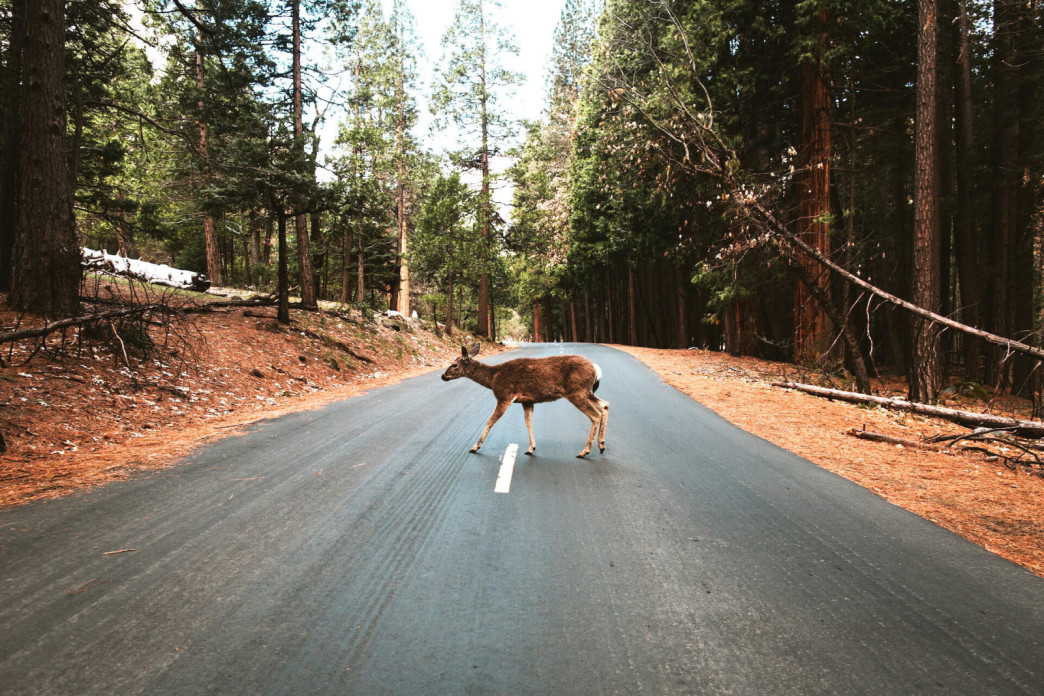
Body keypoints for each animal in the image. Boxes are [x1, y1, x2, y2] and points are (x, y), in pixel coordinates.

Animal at [442, 342, 609, 457]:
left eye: (454, 364)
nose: (443, 376)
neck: (493, 378)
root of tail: (596, 368)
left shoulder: (505, 396)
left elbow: (490, 421)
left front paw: (475, 447)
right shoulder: (527, 400)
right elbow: (528, 421)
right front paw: (531, 448)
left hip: (576, 391)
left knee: (595, 414)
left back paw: (585, 451)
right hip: (586, 391)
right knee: (604, 405)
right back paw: (601, 445)